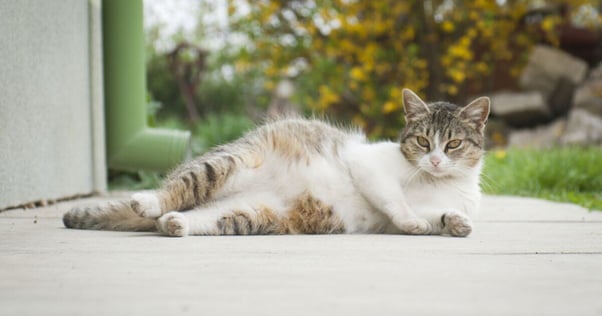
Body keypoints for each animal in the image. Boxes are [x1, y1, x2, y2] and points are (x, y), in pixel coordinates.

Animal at [63, 88, 490, 237]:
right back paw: (149, 202)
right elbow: (395, 200)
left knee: (192, 216)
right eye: (423, 141)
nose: (435, 160)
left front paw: (456, 223)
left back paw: (174, 225)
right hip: (225, 164)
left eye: (453, 144)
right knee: (174, 190)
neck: (436, 183)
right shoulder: (369, 165)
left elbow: (439, 216)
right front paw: (414, 220)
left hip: (247, 214)